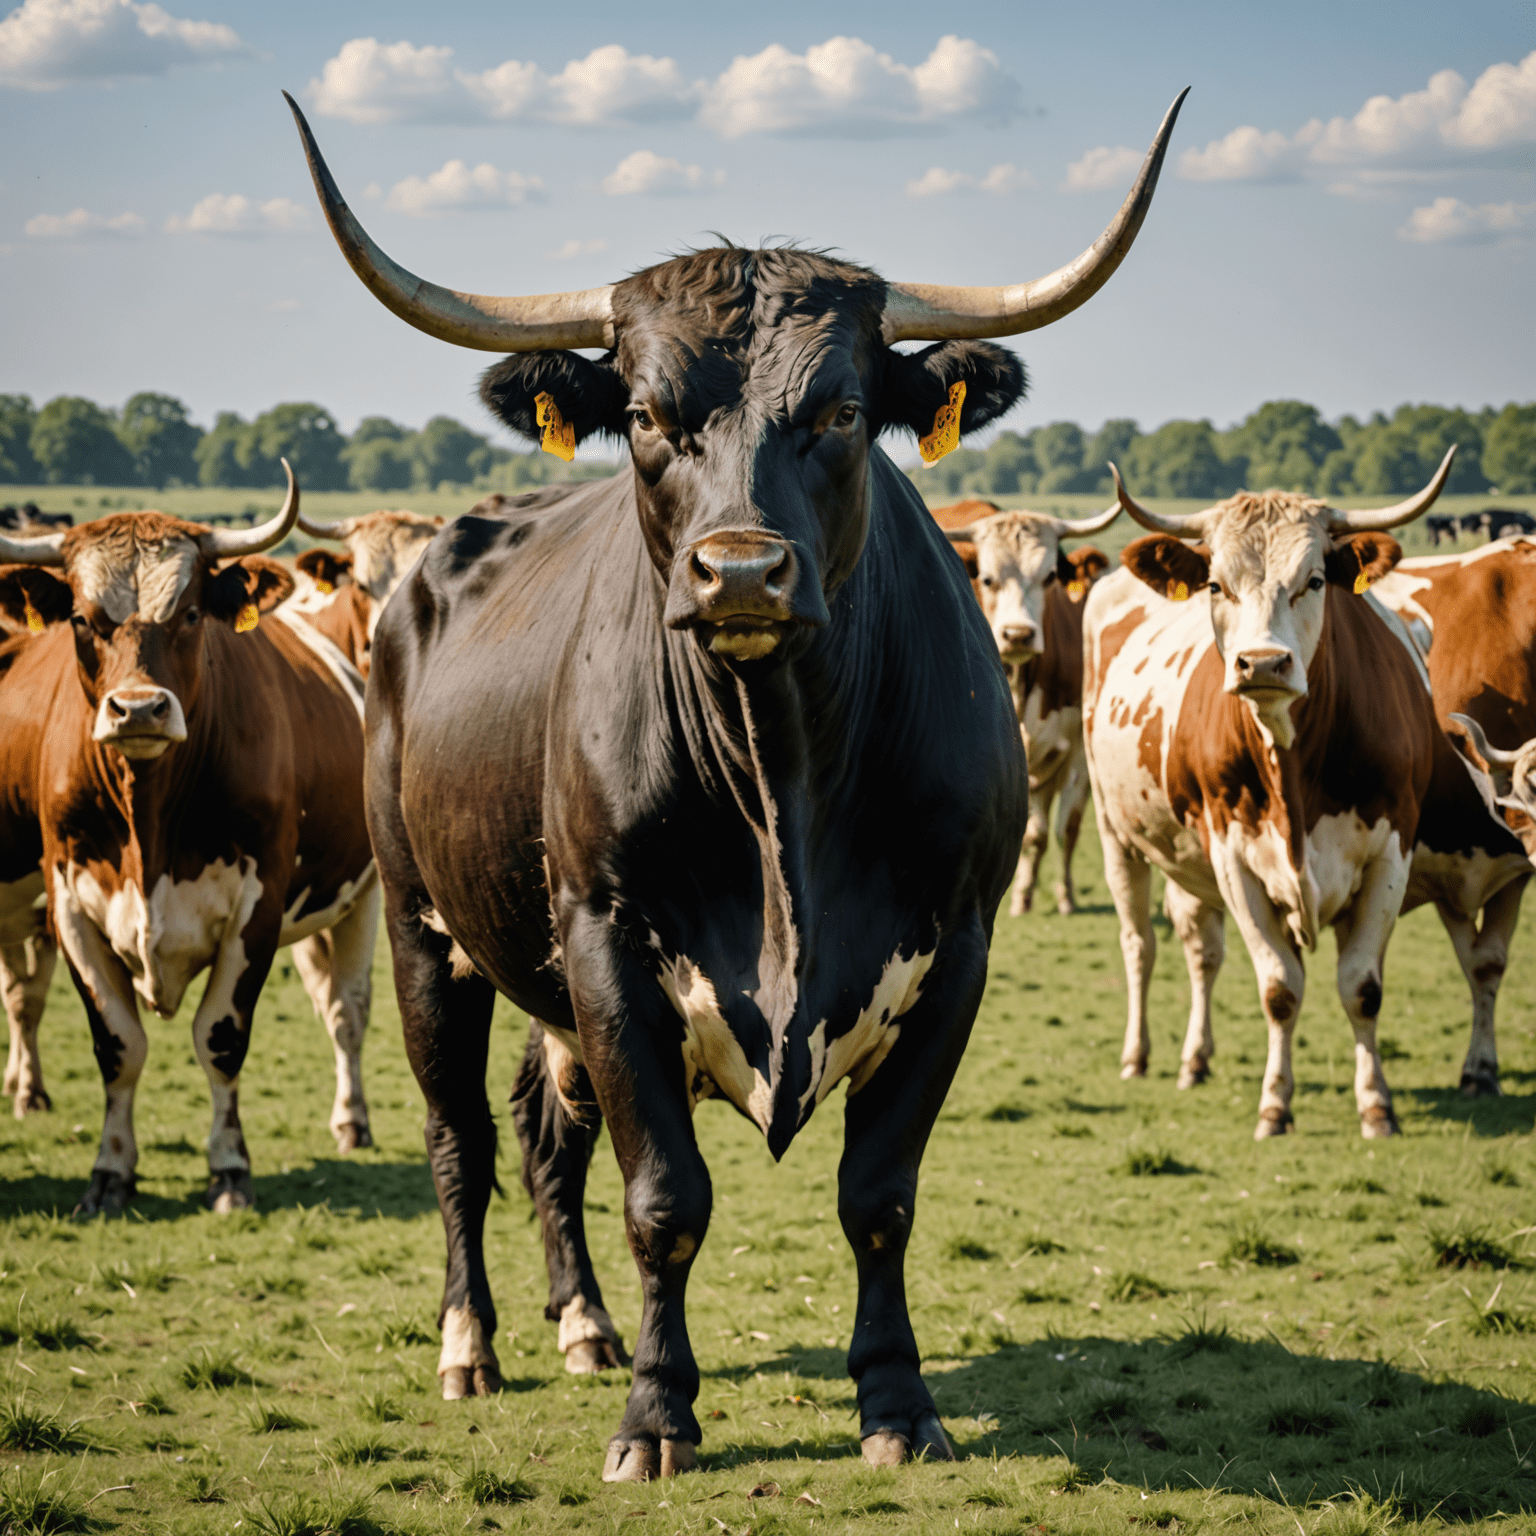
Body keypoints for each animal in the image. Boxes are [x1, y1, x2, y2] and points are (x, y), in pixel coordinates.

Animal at [0, 463, 382, 1210]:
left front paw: (229, 1168)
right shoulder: (70, 908)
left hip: (366, 897)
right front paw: (110, 1173)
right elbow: (118, 1045)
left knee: (348, 1011)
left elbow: (220, 1040)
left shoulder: (256, 910)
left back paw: (353, 1121)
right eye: (83, 619)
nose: (139, 709)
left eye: (191, 614)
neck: (147, 814)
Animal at [921, 494, 1118, 909]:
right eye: (987, 579)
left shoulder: (1076, 750)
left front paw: (1059, 895)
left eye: (1049, 577)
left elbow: (1060, 829)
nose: (1017, 634)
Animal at [1081, 448, 1462, 1136]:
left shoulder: (1390, 852)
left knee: (1200, 951)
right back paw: (1138, 1054)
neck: (1295, 769)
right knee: (1141, 944)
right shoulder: (1236, 858)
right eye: (1216, 585)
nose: (1261, 663)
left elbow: (1362, 986)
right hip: (1115, 832)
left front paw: (1376, 1106)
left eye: (1314, 580)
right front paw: (1275, 1105)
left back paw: (1195, 1060)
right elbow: (1279, 987)